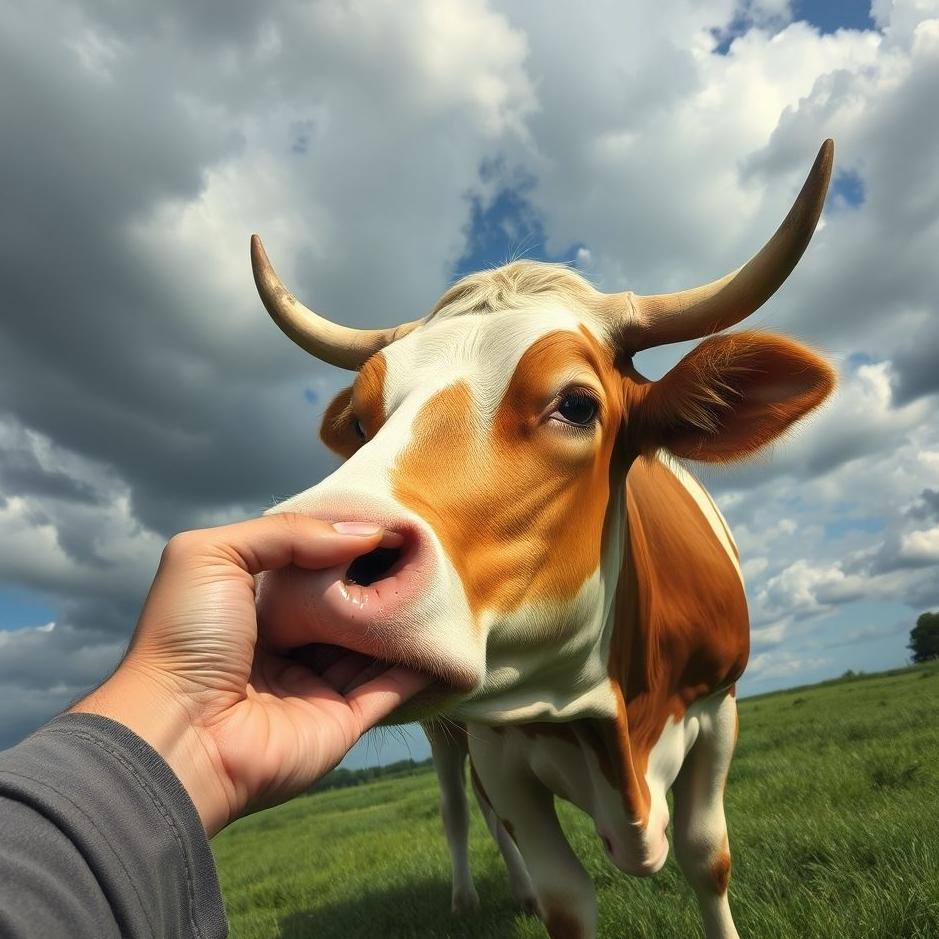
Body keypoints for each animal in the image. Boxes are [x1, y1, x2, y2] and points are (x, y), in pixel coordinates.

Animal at [253, 140, 837, 939]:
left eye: (577, 405)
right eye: (364, 422)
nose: (307, 574)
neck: (607, 714)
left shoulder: (719, 707)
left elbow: (707, 858)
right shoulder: (501, 748)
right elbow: (564, 895)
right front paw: (539, 893)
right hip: (445, 733)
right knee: (459, 807)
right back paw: (473, 897)